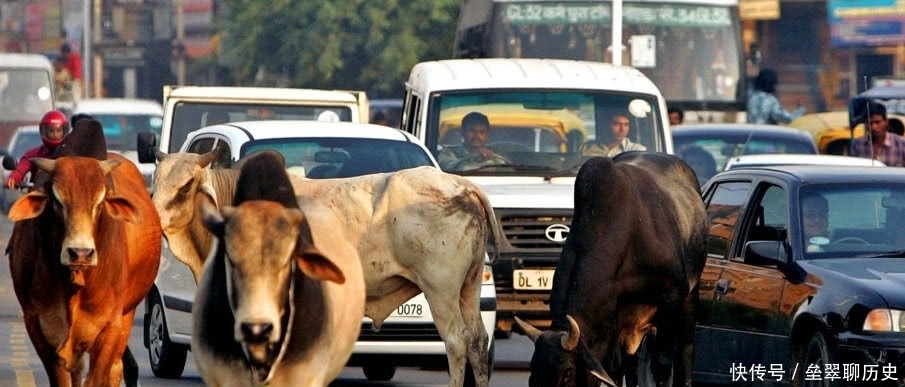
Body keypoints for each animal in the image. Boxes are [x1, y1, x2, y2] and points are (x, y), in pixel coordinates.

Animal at [7, 155, 162, 387]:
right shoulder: (38, 326)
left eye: (100, 202)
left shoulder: (110, 328)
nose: (80, 253)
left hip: (126, 317)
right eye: (57, 200)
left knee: (116, 368)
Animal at [516, 152, 708, 387]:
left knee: (686, 348)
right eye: (532, 373)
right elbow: (614, 370)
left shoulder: (671, 301)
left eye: (568, 372)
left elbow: (662, 365)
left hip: (691, 294)